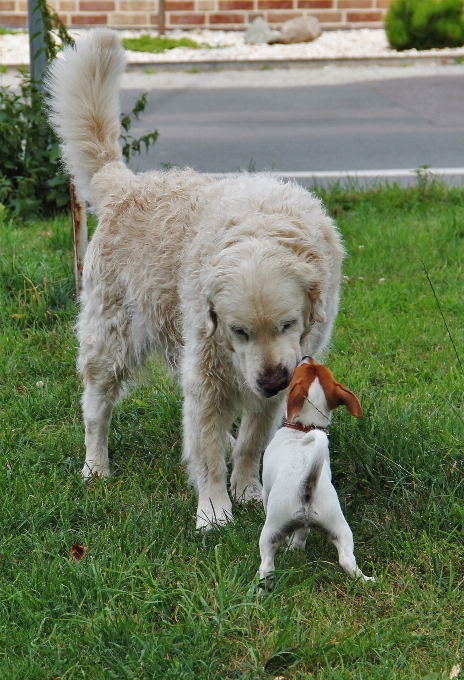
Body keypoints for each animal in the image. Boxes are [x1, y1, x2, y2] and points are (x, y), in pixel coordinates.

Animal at [46, 30, 344, 532]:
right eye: (238, 331)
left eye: (287, 324)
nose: (271, 381)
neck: (260, 226)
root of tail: (124, 184)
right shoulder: (206, 370)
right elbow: (205, 451)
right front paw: (214, 511)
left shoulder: (279, 374)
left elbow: (250, 441)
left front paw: (247, 491)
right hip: (109, 342)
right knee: (96, 409)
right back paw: (95, 467)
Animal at [260, 356, 376, 588]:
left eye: (300, 369)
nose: (306, 357)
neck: (304, 427)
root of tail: (307, 484)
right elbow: (300, 537)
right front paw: (294, 548)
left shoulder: (266, 492)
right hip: (340, 527)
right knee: (347, 559)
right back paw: (366, 579)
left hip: (271, 530)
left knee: (267, 564)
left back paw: (261, 589)